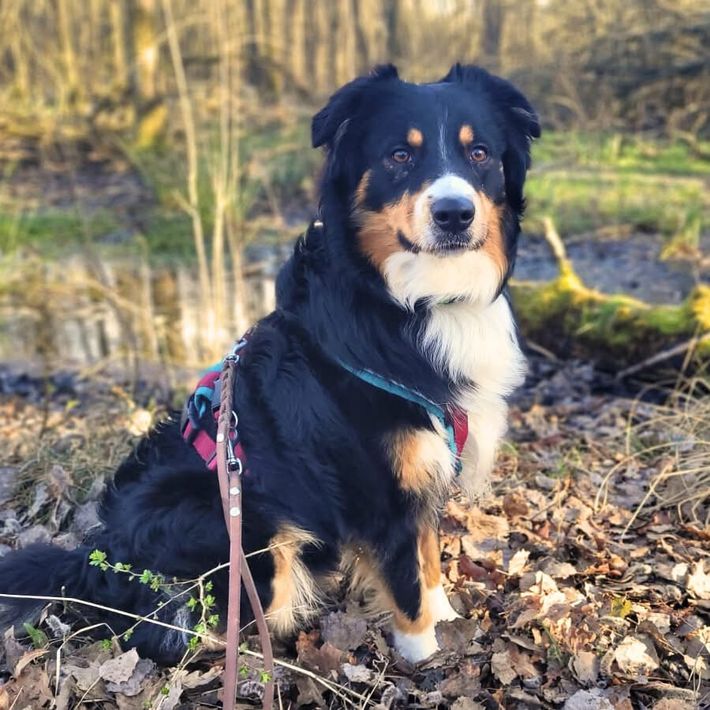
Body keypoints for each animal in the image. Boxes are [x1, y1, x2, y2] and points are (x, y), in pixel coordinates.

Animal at [0, 64, 539, 665]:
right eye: (400, 155)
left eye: (480, 153)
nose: (454, 213)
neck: (409, 300)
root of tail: (92, 560)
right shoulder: (379, 491)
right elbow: (406, 584)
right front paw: (426, 656)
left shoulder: (422, 471)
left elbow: (428, 559)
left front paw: (447, 621)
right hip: (249, 532)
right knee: (179, 630)